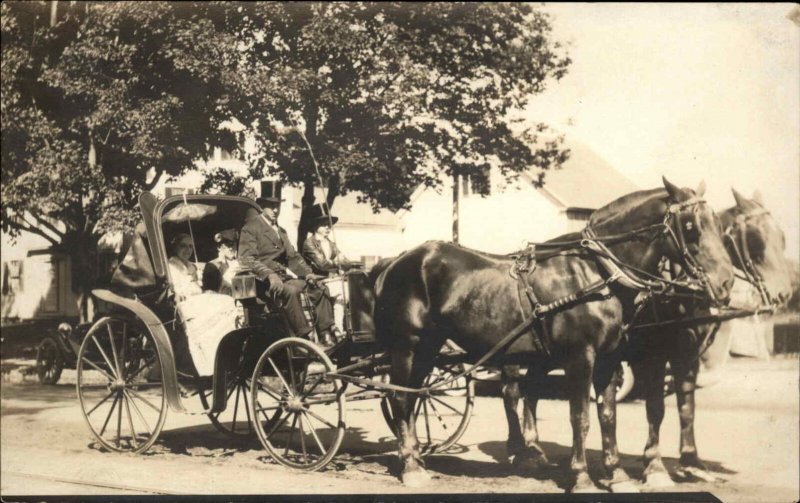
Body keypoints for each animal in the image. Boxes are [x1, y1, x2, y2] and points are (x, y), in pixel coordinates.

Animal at [372, 178, 736, 492]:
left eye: (719, 227)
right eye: (691, 226)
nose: (725, 282)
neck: (595, 273)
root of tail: (395, 262)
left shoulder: (610, 358)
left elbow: (608, 415)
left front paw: (617, 474)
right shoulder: (582, 357)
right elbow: (581, 417)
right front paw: (582, 477)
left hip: (429, 349)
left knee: (415, 396)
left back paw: (420, 458)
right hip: (408, 346)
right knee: (400, 397)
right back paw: (411, 467)